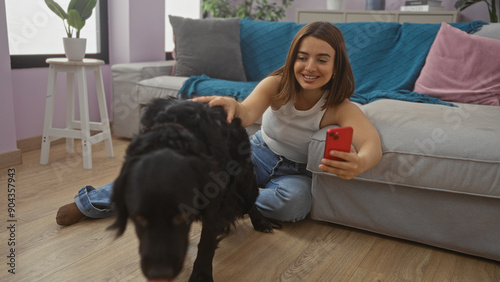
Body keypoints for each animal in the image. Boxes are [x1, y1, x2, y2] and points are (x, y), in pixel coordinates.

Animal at [109, 97, 280, 282]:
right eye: (138, 218)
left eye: (182, 216)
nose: (159, 274)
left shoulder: (215, 201)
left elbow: (206, 242)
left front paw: (201, 274)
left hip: (244, 181)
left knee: (250, 201)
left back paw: (261, 221)